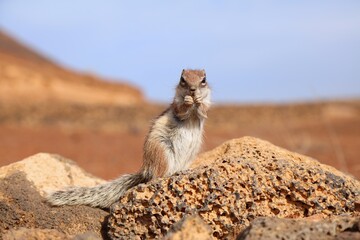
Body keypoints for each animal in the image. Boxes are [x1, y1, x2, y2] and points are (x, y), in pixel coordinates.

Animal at [47, 69, 211, 208]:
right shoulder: (176, 105)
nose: (192, 90)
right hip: (162, 151)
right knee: (158, 175)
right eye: (182, 79)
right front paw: (188, 101)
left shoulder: (206, 106)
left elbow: (204, 110)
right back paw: (169, 174)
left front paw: (199, 100)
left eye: (204, 80)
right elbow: (180, 110)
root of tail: (146, 170)